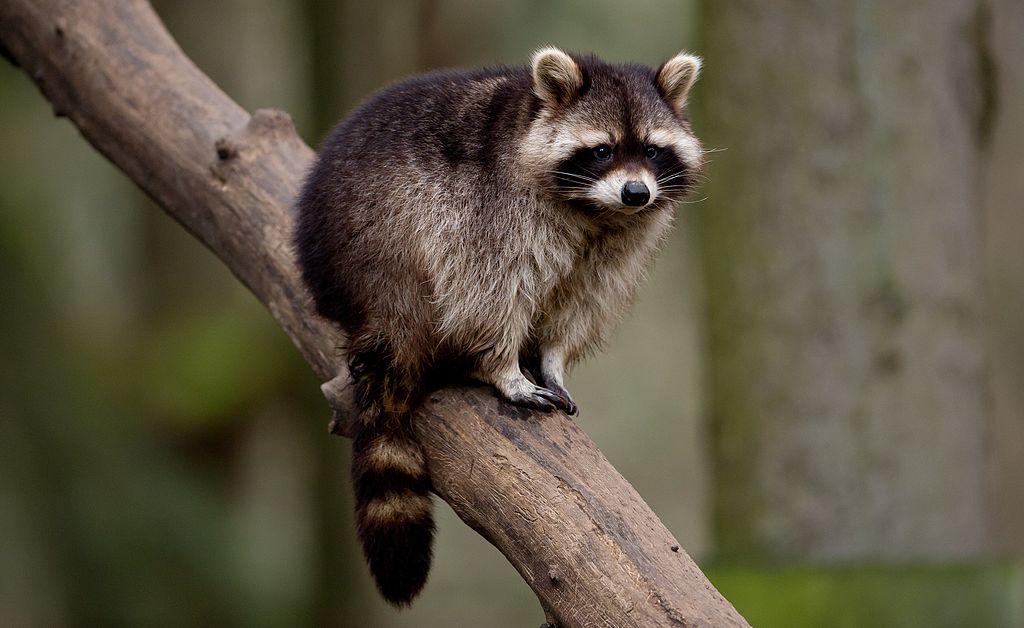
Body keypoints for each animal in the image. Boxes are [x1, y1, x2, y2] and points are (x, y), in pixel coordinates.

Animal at [294, 47, 703, 606]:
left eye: (652, 150)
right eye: (602, 150)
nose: (636, 192)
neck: (596, 210)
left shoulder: (616, 245)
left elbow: (578, 303)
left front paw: (552, 358)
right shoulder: (495, 210)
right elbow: (487, 292)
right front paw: (504, 367)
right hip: (382, 236)